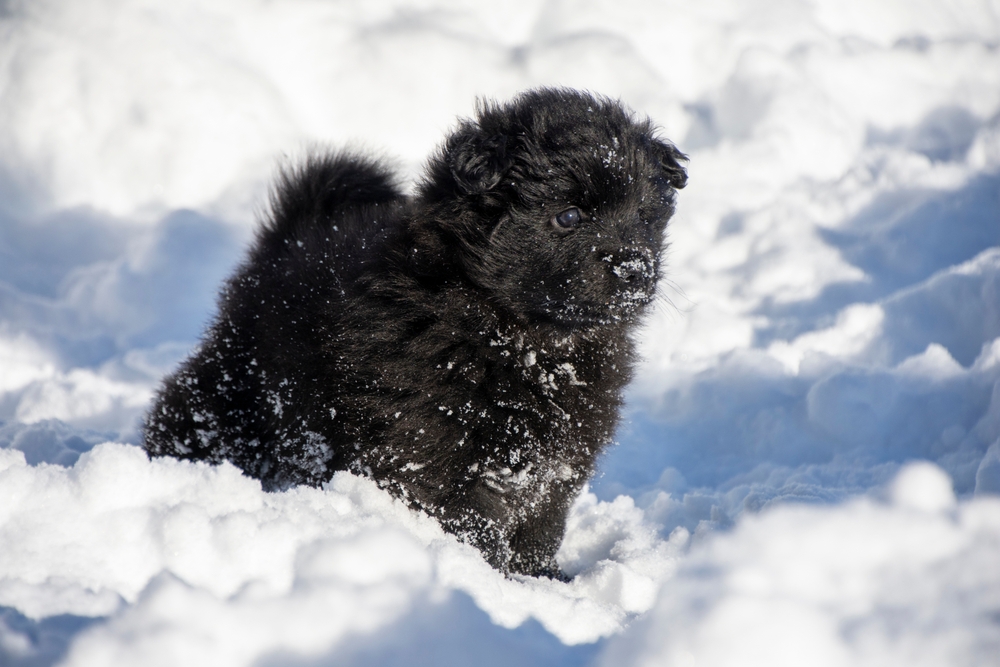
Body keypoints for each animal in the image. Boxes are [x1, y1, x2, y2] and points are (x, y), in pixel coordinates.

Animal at [143, 90, 688, 580]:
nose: (635, 268)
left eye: (645, 216)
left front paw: (541, 580)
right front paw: (484, 580)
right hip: (237, 392)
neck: (519, 336)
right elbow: (469, 523)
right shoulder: (430, 444)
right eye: (569, 216)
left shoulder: (560, 458)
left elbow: (540, 526)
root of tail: (290, 237)